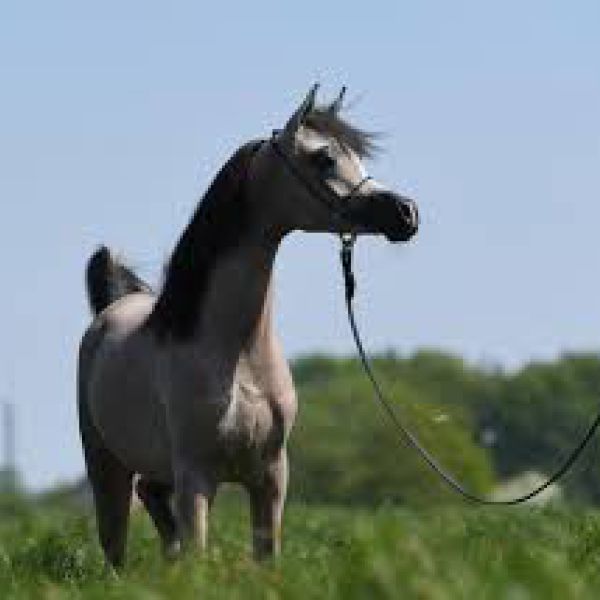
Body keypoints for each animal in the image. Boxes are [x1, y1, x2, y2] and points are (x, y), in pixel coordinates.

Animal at [78, 85, 418, 568]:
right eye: (324, 158)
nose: (406, 213)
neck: (237, 355)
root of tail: (112, 307)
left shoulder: (271, 476)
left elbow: (265, 557)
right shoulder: (197, 478)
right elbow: (198, 554)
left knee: (154, 504)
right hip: (108, 467)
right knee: (116, 542)